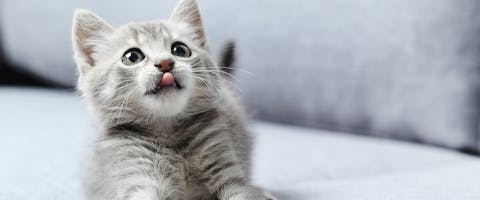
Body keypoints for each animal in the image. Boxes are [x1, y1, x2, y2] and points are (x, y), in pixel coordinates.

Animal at [69, 0, 276, 199]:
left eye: (180, 50)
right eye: (132, 56)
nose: (165, 63)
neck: (168, 135)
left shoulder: (228, 172)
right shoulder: (138, 175)